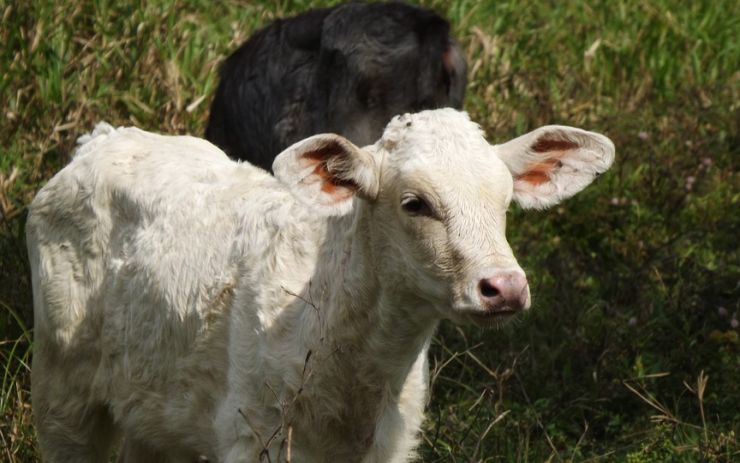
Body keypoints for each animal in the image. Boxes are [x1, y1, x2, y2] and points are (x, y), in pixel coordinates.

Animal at [27, 109, 612, 463]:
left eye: (504, 200)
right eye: (414, 203)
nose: (504, 287)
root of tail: (102, 139)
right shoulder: (252, 434)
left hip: (154, 413)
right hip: (61, 391)